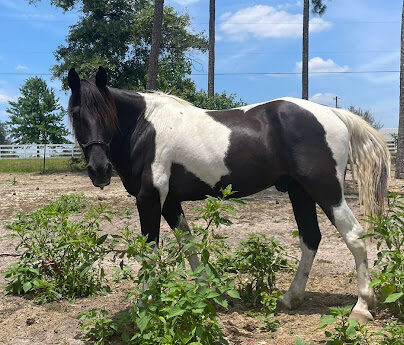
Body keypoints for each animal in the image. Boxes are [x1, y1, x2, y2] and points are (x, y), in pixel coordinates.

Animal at [68, 67, 390, 322]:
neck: (145, 128)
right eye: (75, 113)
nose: (99, 170)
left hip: (325, 189)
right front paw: (205, 293)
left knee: (354, 236)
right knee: (310, 238)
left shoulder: (149, 199)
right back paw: (290, 299)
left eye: (105, 113)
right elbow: (189, 245)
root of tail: (333, 114)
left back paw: (362, 307)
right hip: (300, 192)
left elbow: (150, 251)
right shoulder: (169, 202)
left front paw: (145, 304)